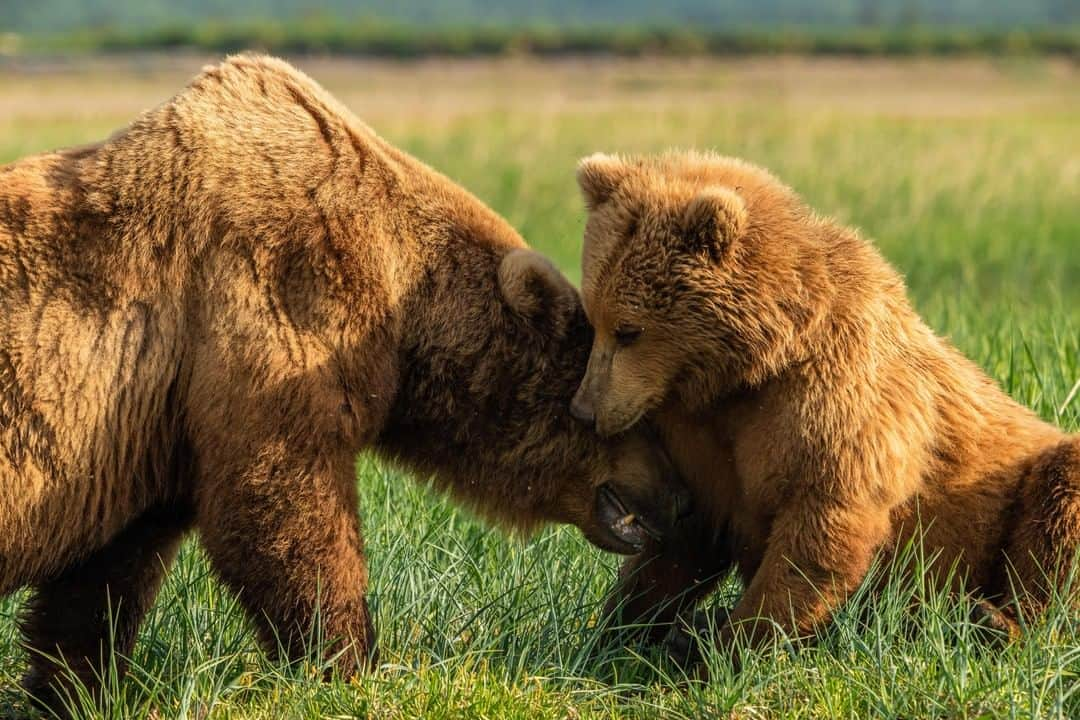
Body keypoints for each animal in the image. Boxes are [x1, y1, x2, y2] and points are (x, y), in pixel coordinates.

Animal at [0, 57, 682, 708]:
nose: (675, 502)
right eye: (641, 419)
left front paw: (76, 685)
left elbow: (108, 570)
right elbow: (288, 503)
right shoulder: (271, 317)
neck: (401, 300)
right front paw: (348, 664)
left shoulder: (147, 426)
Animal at [570, 151, 1075, 664]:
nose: (585, 410)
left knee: (1056, 514)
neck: (752, 366)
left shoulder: (834, 398)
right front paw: (613, 632)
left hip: (1012, 495)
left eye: (629, 330)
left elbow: (819, 529)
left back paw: (996, 622)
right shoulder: (698, 435)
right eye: (593, 320)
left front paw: (733, 649)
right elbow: (680, 540)